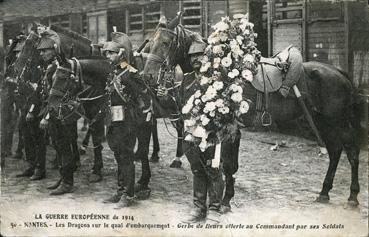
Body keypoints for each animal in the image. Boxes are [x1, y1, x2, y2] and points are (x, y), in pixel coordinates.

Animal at [142, 14, 360, 208]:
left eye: (165, 43)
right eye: (149, 43)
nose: (148, 76)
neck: (216, 70)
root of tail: (339, 73)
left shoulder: (230, 127)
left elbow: (229, 164)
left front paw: (226, 200)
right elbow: (221, 163)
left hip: (337, 122)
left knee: (351, 152)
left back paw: (352, 197)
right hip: (323, 122)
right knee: (335, 152)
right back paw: (324, 192)